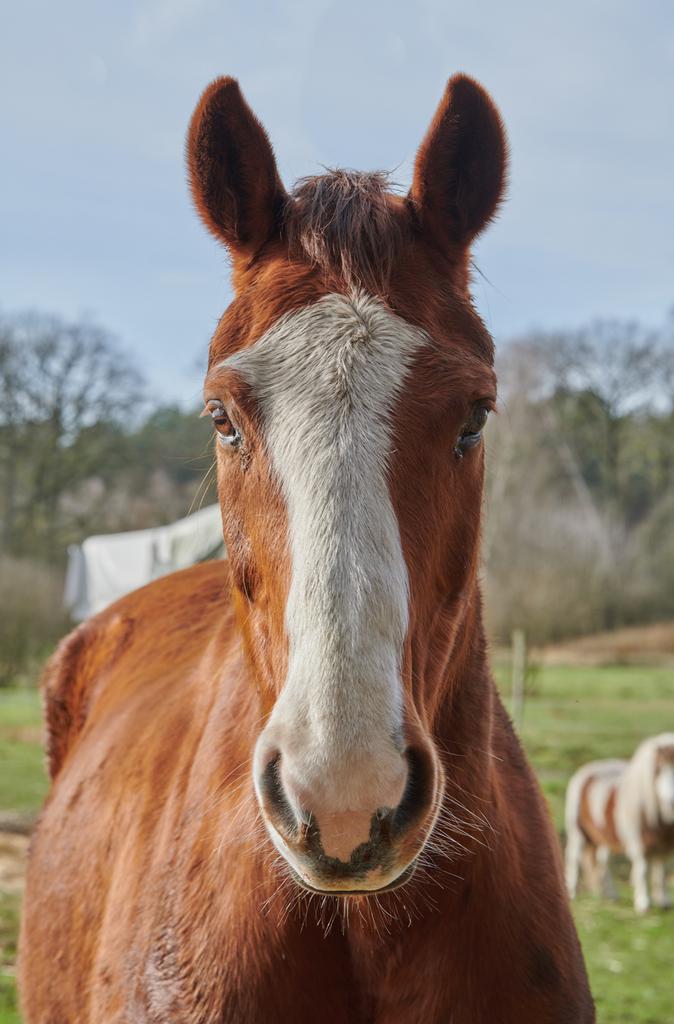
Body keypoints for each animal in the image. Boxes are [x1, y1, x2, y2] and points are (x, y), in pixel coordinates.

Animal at [566, 735, 674, 913]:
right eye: (658, 769)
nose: (671, 801)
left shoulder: (664, 844)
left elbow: (662, 871)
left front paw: (663, 902)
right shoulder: (639, 842)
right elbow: (642, 869)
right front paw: (643, 903)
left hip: (604, 836)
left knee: (603, 862)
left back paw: (611, 895)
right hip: (578, 832)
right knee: (573, 860)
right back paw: (571, 893)